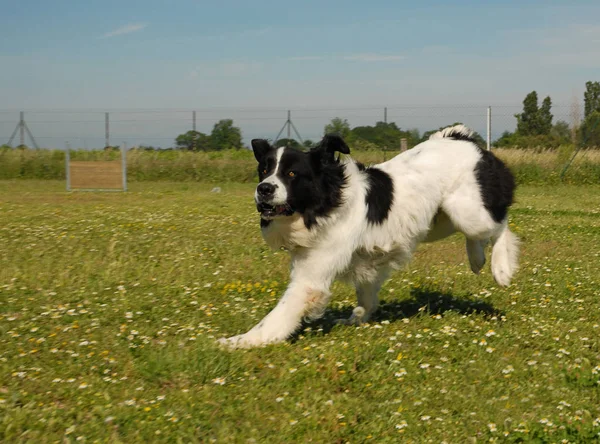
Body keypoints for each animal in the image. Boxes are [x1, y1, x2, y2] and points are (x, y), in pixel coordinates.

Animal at [218, 123, 516, 348]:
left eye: (291, 173)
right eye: (264, 170)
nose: (264, 189)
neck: (327, 200)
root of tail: (463, 139)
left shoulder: (311, 277)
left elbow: (278, 315)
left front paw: (240, 341)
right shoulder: (364, 258)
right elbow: (366, 294)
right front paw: (358, 318)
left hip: (467, 212)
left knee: (501, 226)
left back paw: (500, 267)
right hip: (442, 219)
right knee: (479, 233)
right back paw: (477, 258)